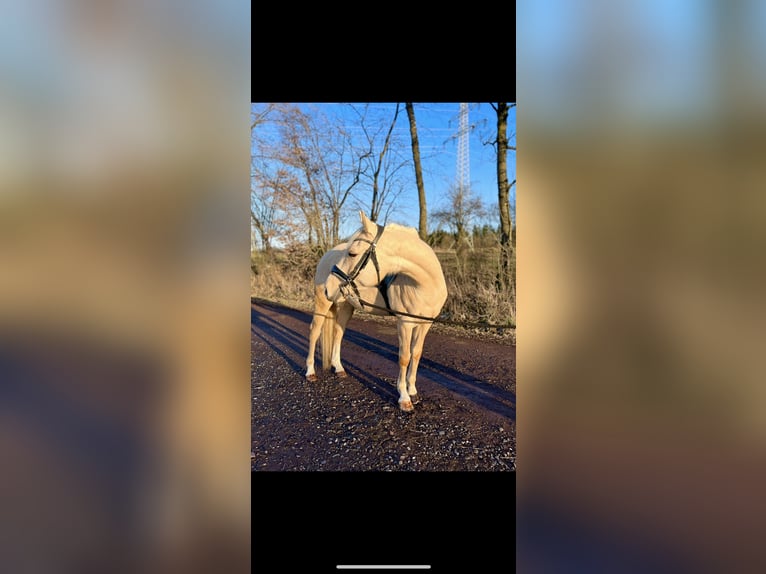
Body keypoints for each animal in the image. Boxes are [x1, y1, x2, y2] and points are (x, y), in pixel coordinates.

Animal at [305, 242, 390, 381]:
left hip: (346, 307)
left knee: (338, 332)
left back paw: (339, 368)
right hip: (323, 303)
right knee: (315, 331)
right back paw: (310, 371)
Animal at [324, 210, 448, 412]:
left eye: (352, 253)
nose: (328, 288)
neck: (423, 285)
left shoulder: (424, 324)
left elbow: (416, 354)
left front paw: (412, 390)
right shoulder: (404, 323)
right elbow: (404, 357)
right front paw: (404, 398)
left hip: (346, 307)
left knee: (338, 334)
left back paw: (339, 368)